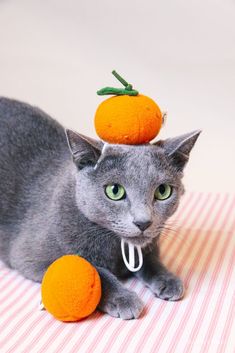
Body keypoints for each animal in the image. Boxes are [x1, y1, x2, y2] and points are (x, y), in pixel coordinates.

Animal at [0, 96, 200, 320]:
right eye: (115, 191)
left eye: (163, 191)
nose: (143, 222)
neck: (115, 247)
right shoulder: (32, 255)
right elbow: (95, 270)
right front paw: (124, 299)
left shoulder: (149, 245)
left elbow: (151, 260)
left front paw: (168, 279)